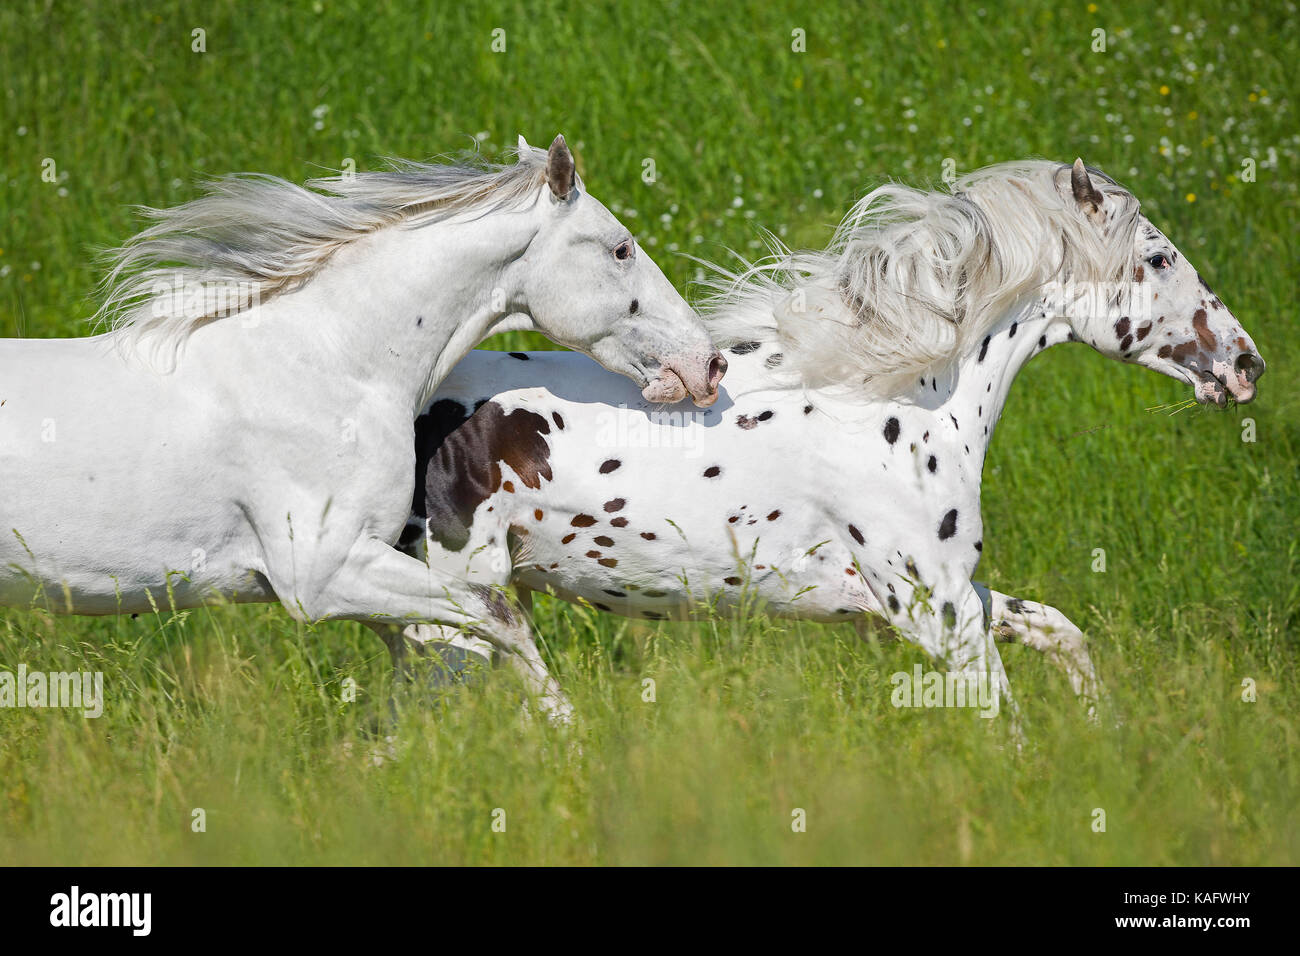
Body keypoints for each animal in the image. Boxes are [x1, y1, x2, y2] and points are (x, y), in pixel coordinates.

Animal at [379, 159, 1264, 723]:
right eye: (1159, 257)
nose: (1246, 364)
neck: (900, 403)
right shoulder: (931, 612)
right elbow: (1003, 717)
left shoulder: (947, 596)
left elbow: (1060, 631)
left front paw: (1101, 730)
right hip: (452, 612)